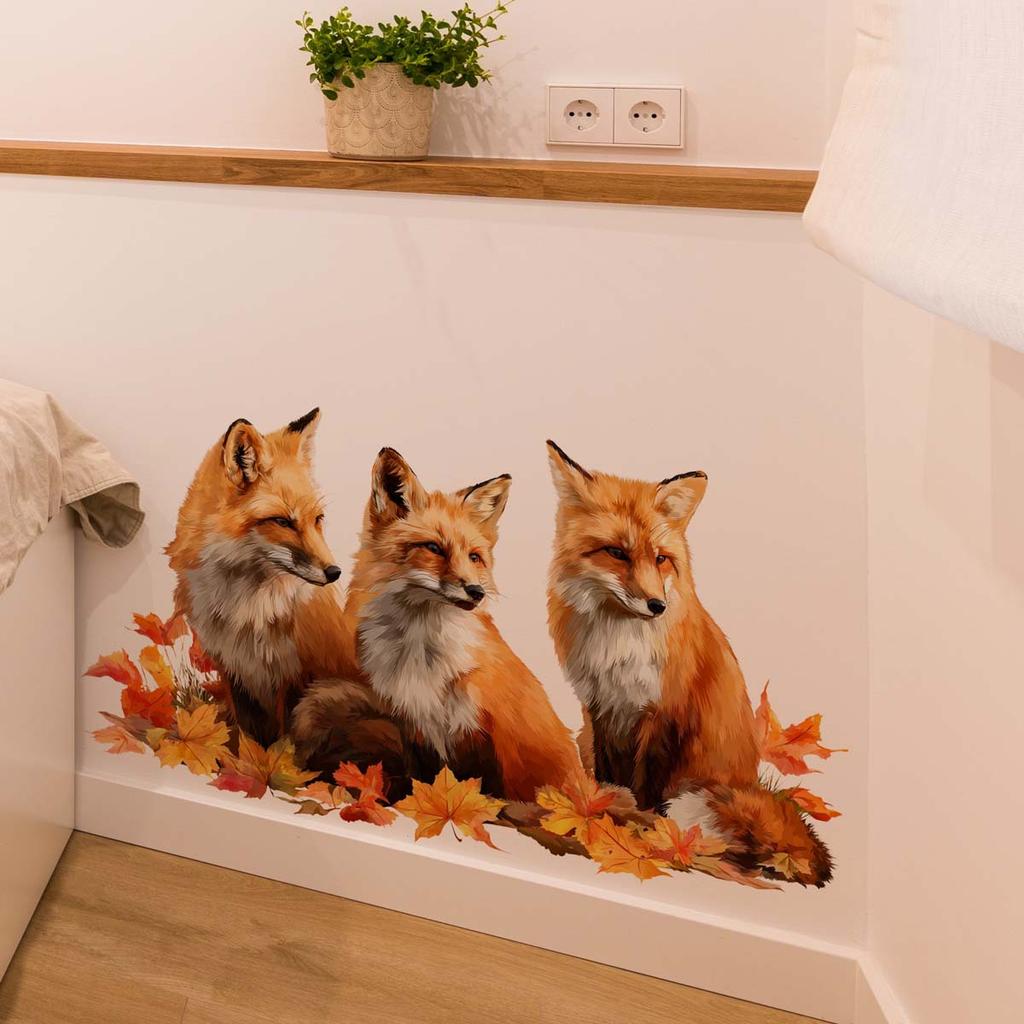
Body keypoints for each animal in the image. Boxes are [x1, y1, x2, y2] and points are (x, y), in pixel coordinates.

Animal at [166, 408, 356, 746]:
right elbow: (247, 738)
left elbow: (285, 741)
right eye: (283, 521)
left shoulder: (295, 674)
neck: (245, 610)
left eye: (317, 520)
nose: (334, 573)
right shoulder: (233, 670)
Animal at [292, 447, 581, 801]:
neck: (421, 656)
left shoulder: (485, 729)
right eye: (433, 548)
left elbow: (489, 788)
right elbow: (425, 777)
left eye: (474, 557)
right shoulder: (413, 726)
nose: (476, 591)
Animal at [545, 440, 832, 886]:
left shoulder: (664, 713)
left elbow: (648, 785)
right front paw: (604, 805)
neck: (618, 643)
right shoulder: (599, 706)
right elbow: (609, 772)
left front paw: (647, 826)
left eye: (661, 559)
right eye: (617, 553)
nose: (657, 605)